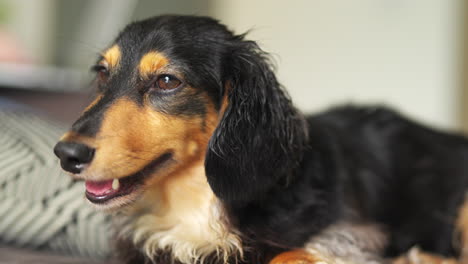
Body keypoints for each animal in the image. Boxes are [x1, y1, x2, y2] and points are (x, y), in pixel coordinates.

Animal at [53, 15, 468, 262]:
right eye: (102, 73)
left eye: (167, 81)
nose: (66, 154)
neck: (196, 203)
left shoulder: (356, 234)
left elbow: (290, 254)